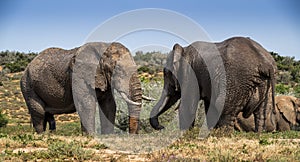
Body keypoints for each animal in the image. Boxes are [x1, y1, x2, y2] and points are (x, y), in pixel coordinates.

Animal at [19, 41, 149, 134]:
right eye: (120, 72)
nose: (133, 135)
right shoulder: (78, 75)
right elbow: (86, 103)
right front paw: (90, 136)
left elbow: (109, 105)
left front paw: (108, 136)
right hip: (28, 86)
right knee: (39, 112)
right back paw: (42, 136)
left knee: (48, 115)